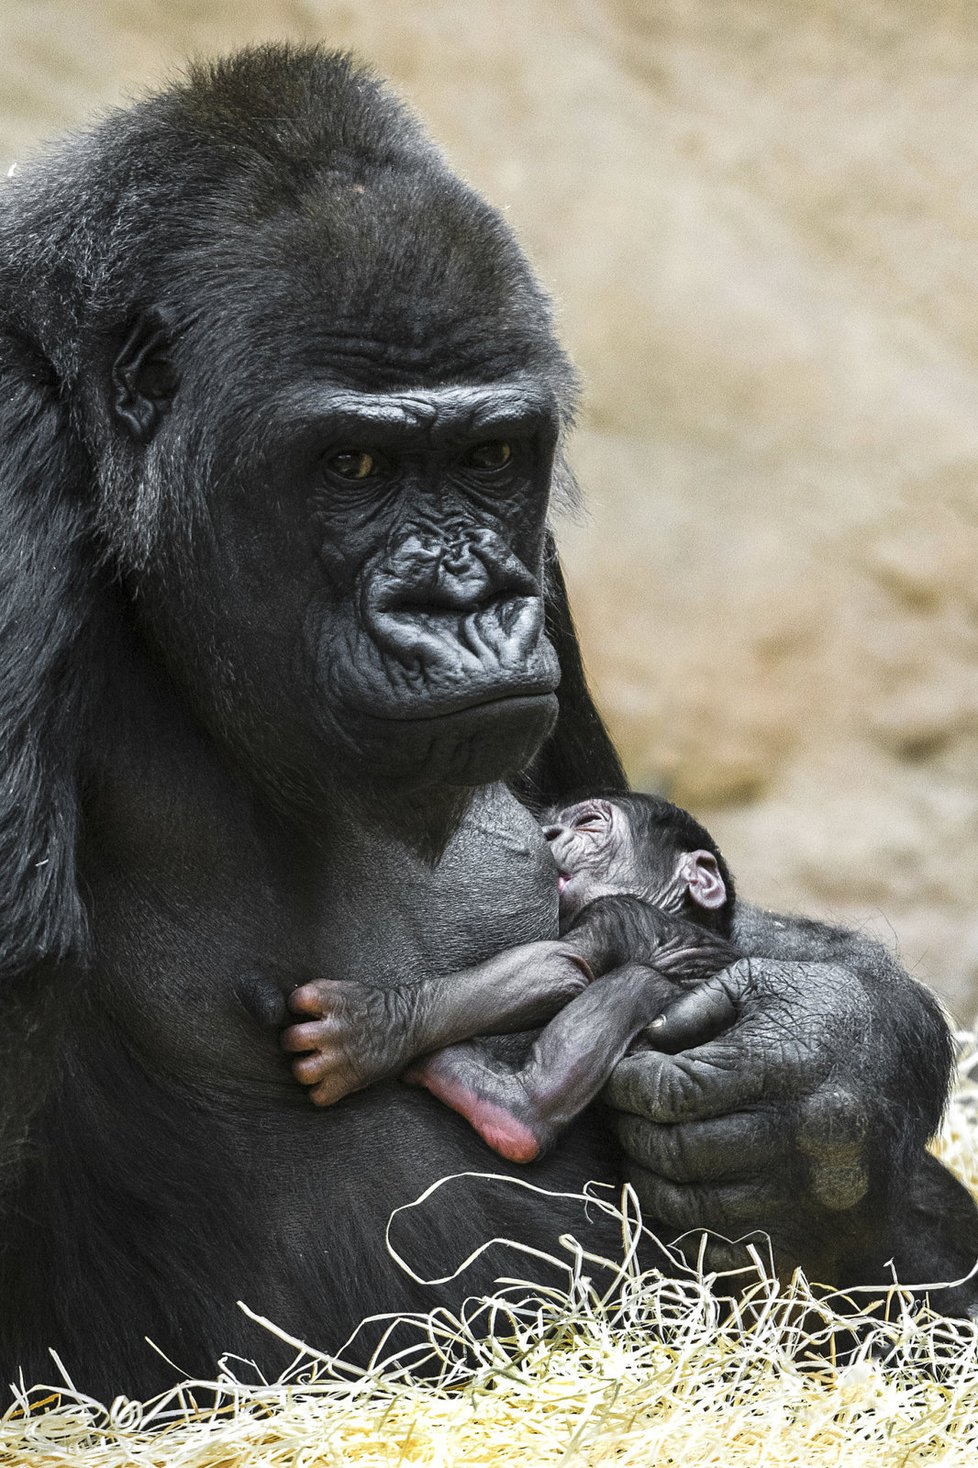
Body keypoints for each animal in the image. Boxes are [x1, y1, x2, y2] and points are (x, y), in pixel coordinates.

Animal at [277, 798, 734, 1162]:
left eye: (589, 822)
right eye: (549, 821)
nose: (548, 833)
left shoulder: (620, 913)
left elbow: (560, 963)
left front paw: (372, 1028)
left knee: (644, 981)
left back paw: (507, 1109)